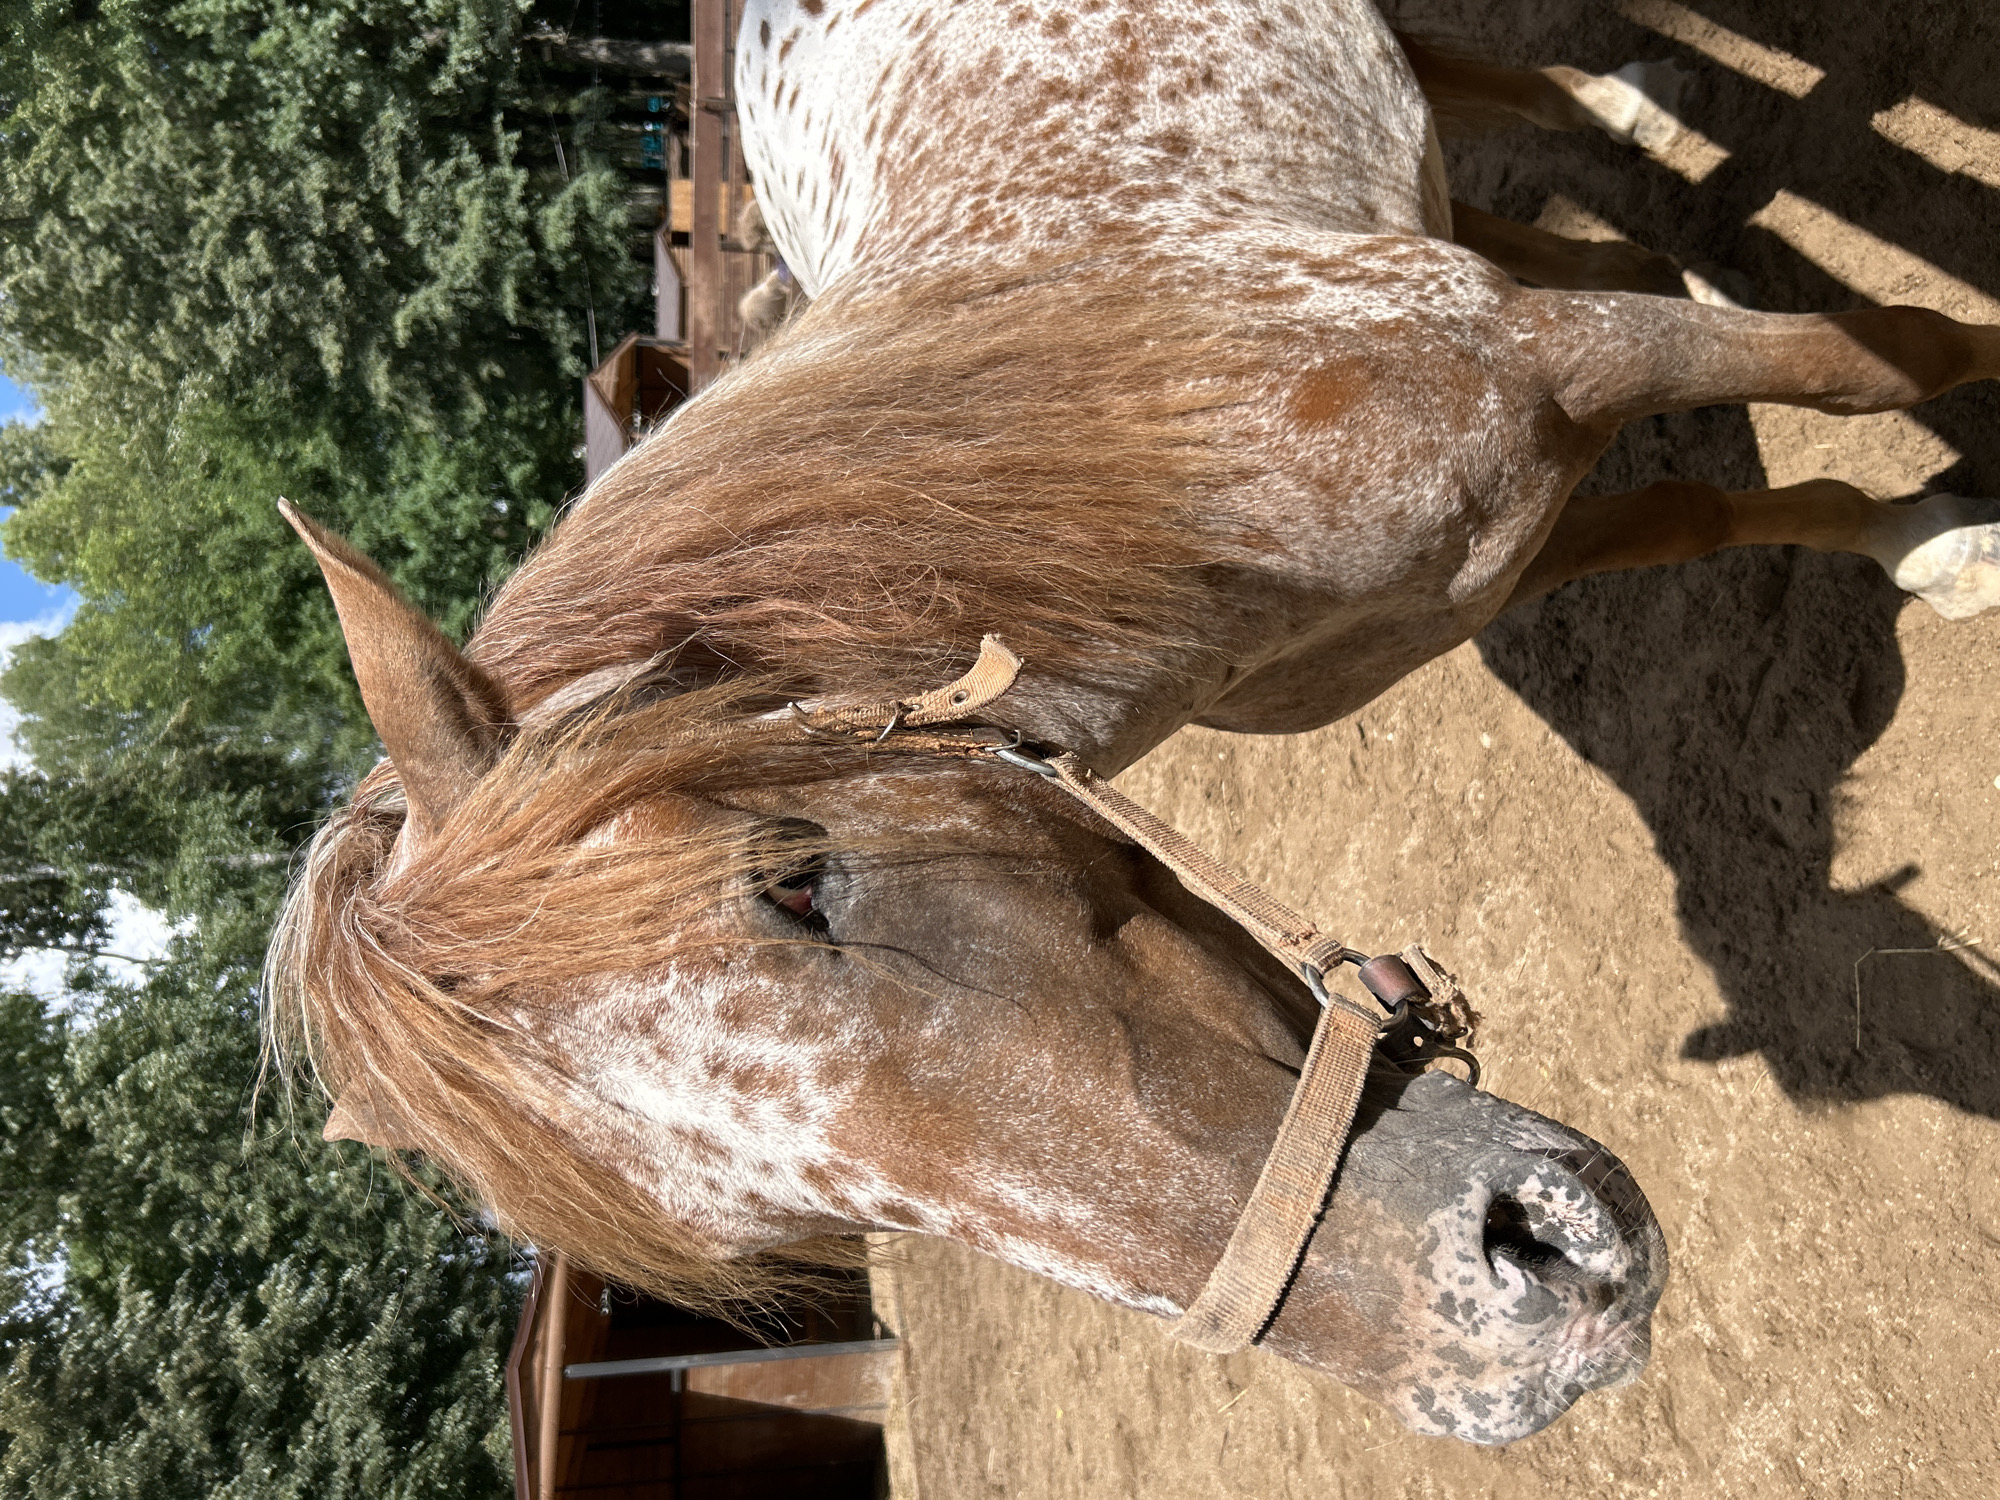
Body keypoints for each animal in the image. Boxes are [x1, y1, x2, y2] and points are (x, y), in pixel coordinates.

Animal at [267, 0, 2000, 1448]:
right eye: (789, 1237)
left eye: (794, 879)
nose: (1517, 1336)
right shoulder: (1483, 561)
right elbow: (1705, 510)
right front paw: (1924, 540)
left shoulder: (1551, 354)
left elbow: (1891, 356)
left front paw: (1939, 515)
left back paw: (1638, 102)